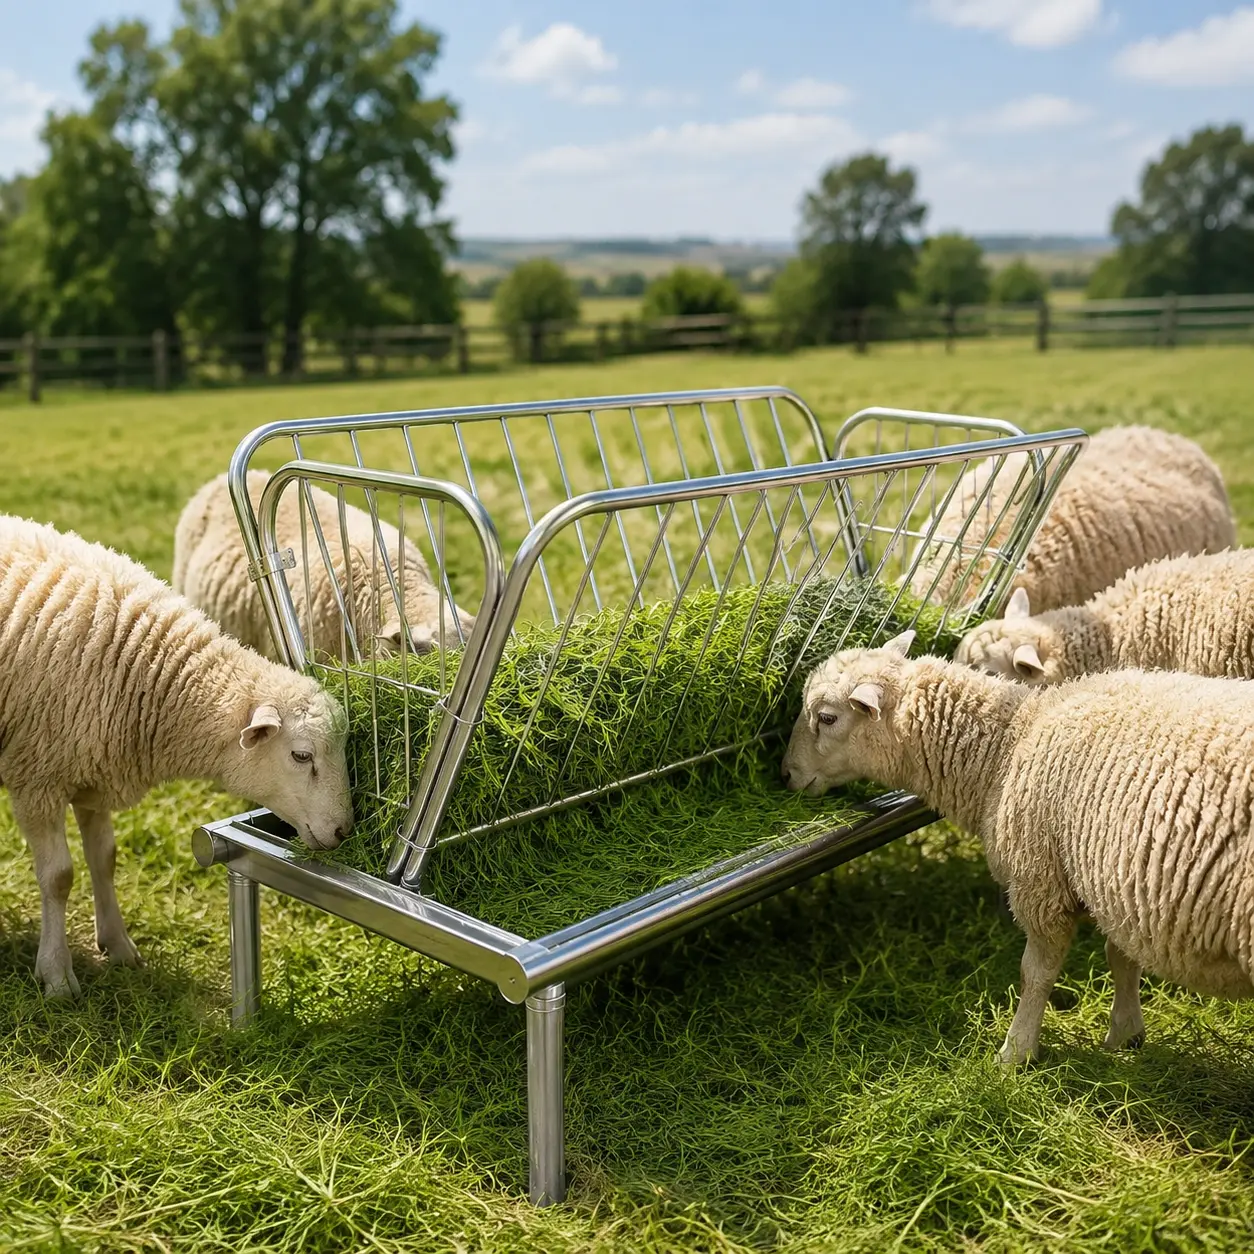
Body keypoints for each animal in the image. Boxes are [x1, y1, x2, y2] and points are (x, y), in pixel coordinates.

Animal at [0, 514, 353, 998]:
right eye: (302, 756)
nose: (344, 830)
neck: (143, 666)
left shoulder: (91, 771)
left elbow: (104, 858)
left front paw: (119, 945)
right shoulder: (38, 778)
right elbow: (58, 877)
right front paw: (56, 975)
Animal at [781, 633, 1254, 1064]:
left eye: (826, 718)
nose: (786, 774)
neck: (1007, 745)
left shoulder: (1041, 881)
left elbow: (1035, 975)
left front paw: (1016, 1052)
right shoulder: (1118, 881)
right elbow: (1121, 958)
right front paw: (1126, 1033)